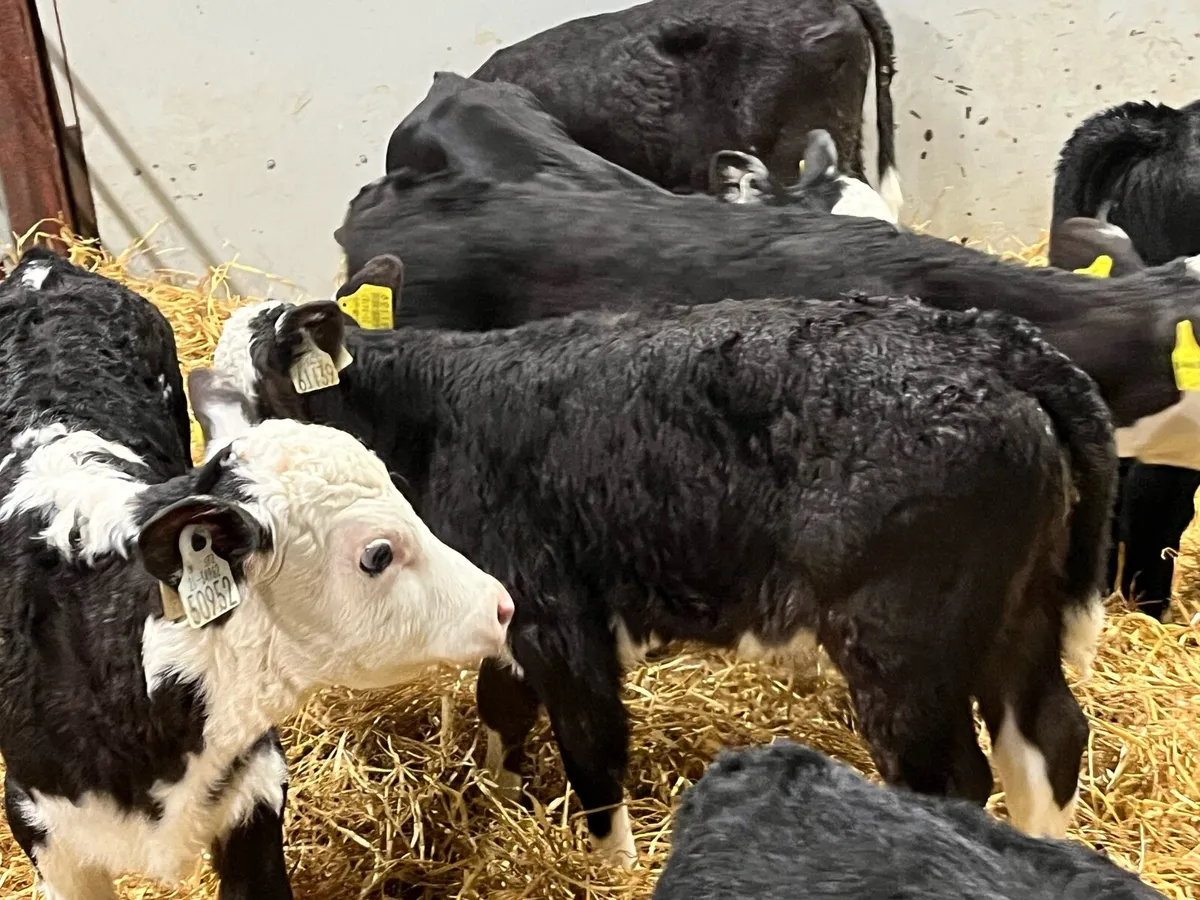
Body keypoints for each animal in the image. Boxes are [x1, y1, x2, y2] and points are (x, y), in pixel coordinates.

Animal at [200, 255, 1116, 868]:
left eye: (254, 403)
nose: (212, 510)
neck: (439, 416)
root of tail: (989, 344)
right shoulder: (510, 610)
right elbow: (504, 706)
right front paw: (495, 792)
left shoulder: (556, 613)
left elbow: (592, 741)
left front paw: (610, 864)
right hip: (1018, 611)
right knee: (1047, 738)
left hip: (900, 641)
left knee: (952, 776)